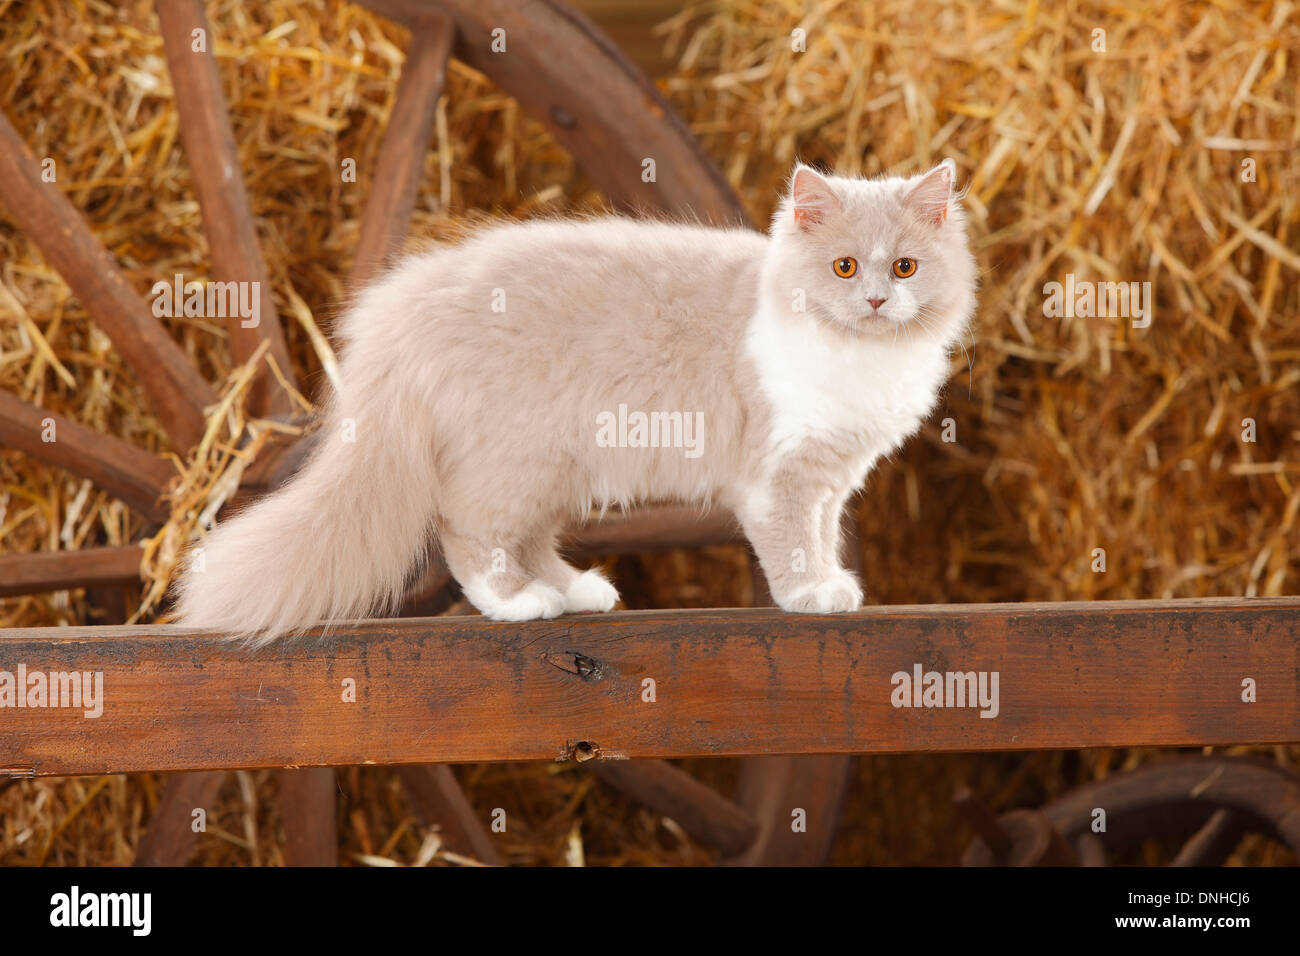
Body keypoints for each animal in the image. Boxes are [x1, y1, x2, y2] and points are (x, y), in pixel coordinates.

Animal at [172, 162, 977, 642]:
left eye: (905, 267)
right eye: (843, 267)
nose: (875, 300)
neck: (858, 357)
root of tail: (405, 312)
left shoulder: (830, 473)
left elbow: (823, 531)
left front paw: (833, 582)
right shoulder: (780, 472)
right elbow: (792, 541)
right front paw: (811, 593)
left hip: (554, 469)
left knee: (526, 541)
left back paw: (577, 594)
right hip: (515, 462)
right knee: (468, 535)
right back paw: (519, 604)